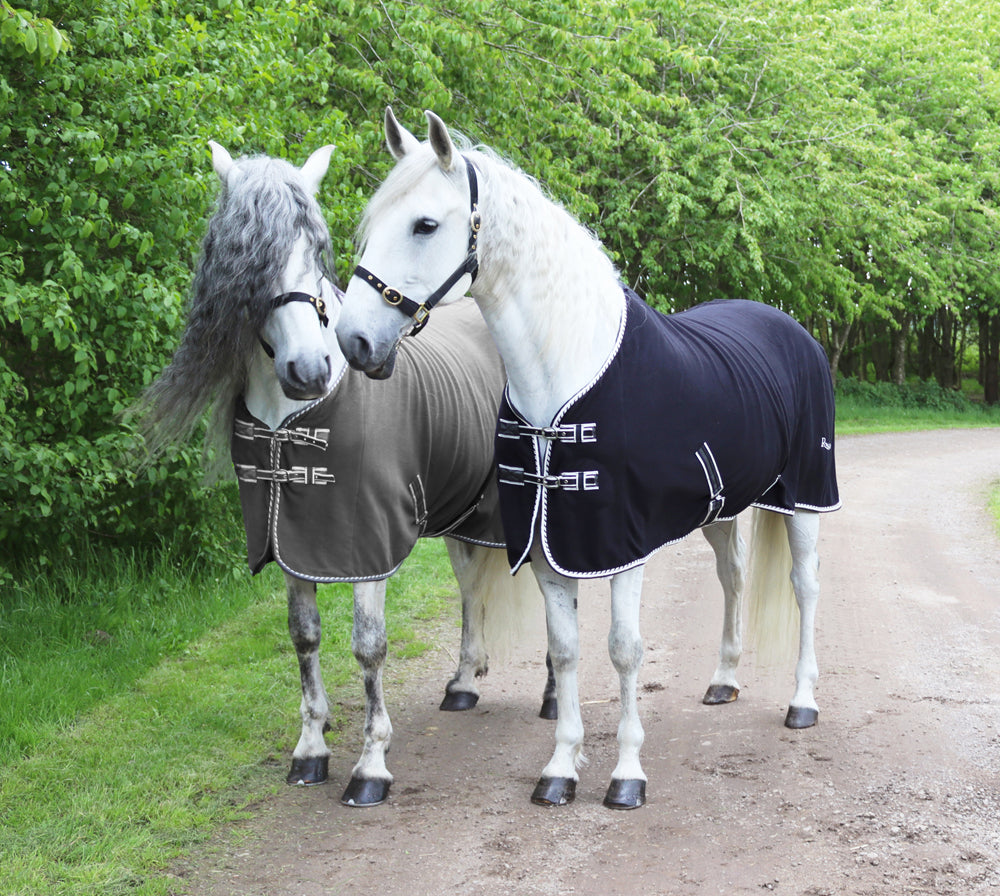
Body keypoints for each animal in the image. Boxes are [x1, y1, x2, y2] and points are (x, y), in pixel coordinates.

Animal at [134, 141, 551, 808]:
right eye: (250, 267)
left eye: (315, 251)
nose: (309, 369)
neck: (295, 417)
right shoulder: (289, 542)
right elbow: (304, 637)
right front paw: (311, 748)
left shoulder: (366, 544)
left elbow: (368, 646)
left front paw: (371, 763)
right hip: (461, 512)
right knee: (469, 587)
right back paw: (463, 682)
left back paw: (553, 697)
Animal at [336, 108, 841, 810]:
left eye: (425, 224)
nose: (353, 341)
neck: (564, 373)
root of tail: (792, 328)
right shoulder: (549, 545)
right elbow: (566, 651)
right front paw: (560, 768)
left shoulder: (621, 544)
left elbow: (624, 650)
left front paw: (627, 775)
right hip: (719, 509)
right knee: (734, 577)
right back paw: (723, 678)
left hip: (804, 499)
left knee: (806, 587)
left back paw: (802, 701)